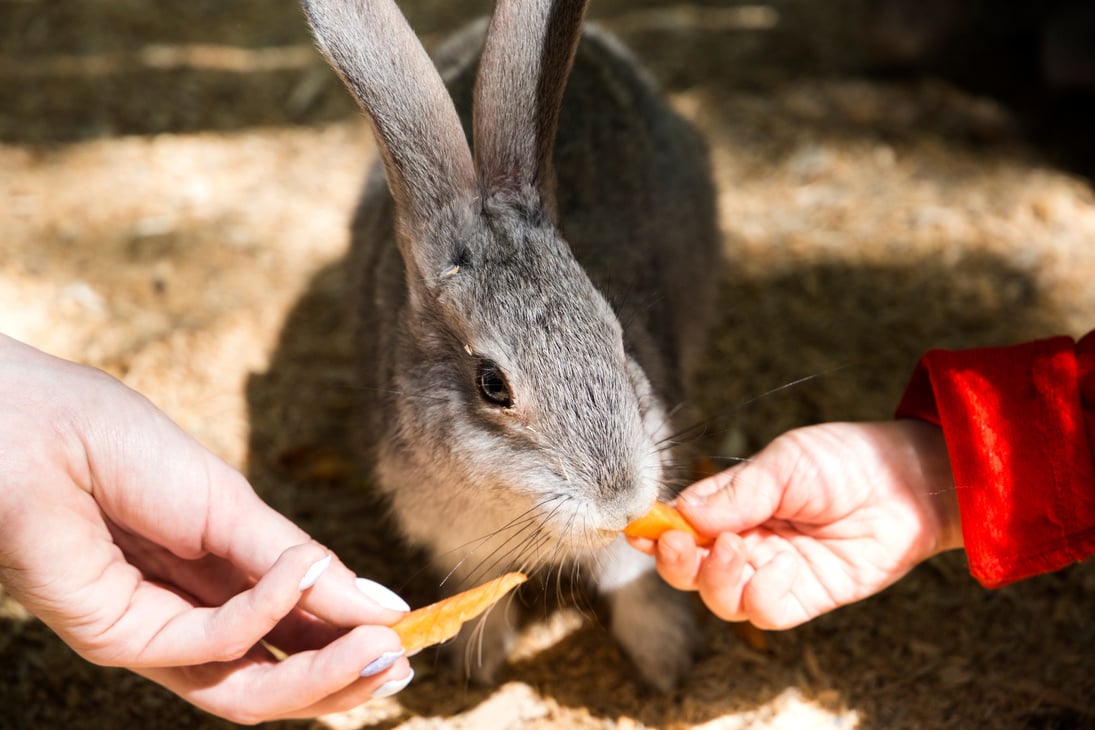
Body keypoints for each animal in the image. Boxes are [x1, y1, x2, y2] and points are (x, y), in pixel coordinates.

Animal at [304, 0, 722, 691]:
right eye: (492, 385)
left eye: (618, 336)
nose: (620, 500)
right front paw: (482, 664)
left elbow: (634, 582)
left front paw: (664, 663)